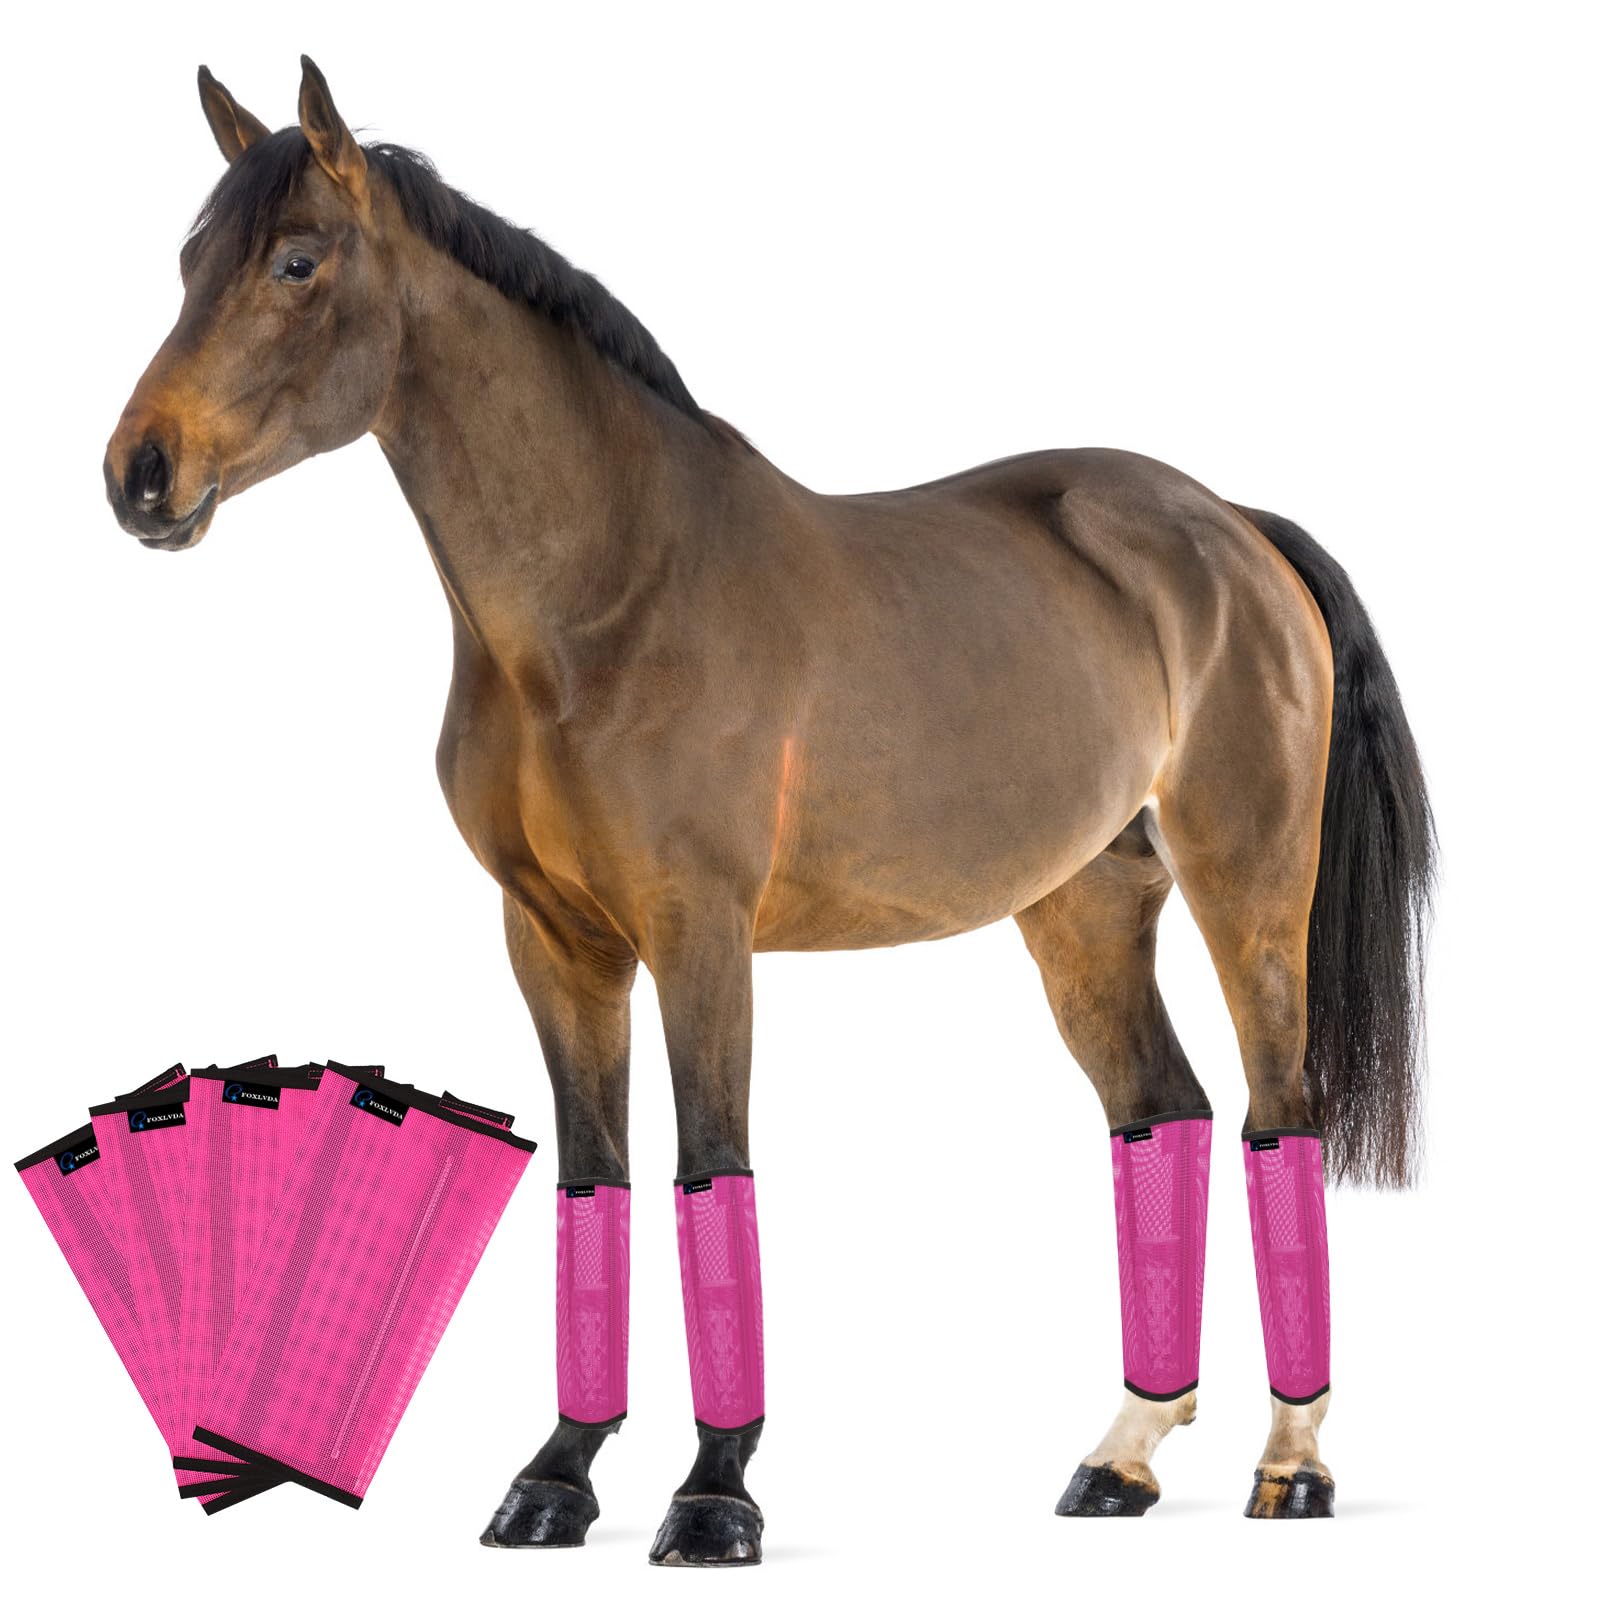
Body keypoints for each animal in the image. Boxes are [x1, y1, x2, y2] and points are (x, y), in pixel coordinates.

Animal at [105, 58, 1434, 1560]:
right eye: (187, 264)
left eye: (296, 260)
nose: (141, 473)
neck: (608, 597)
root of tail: (1232, 528)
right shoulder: (552, 942)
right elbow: (593, 1182)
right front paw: (556, 1477)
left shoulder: (700, 933)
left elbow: (709, 1172)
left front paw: (713, 1493)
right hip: (1084, 912)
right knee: (1166, 1110)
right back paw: (1122, 1457)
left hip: (1247, 887)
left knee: (1282, 1114)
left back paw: (1294, 1465)